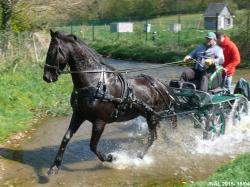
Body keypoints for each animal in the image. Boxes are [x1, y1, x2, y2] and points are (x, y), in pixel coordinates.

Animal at [43, 30, 175, 175]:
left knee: (153, 137)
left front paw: (111, 158)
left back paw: (139, 156)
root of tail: (161, 85)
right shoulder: (78, 115)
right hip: (153, 116)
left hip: (152, 117)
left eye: (52, 51)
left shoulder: (100, 122)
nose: (46, 77)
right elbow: (66, 138)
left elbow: (93, 145)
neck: (94, 82)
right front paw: (54, 167)